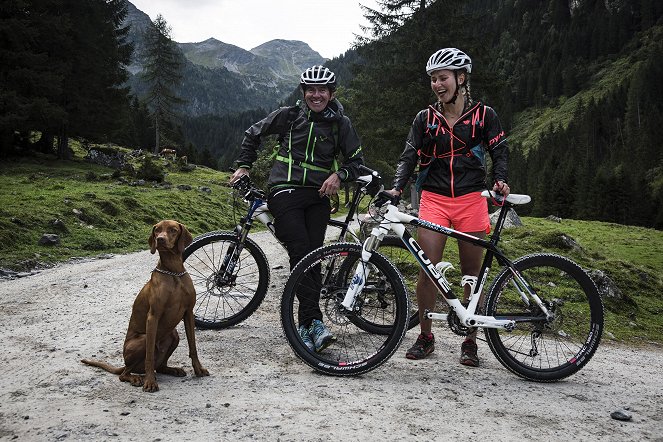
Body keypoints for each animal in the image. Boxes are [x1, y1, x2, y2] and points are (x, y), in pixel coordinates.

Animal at [81, 220, 209, 390]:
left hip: (174, 335)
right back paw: (136, 378)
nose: (160, 239)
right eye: (157, 230)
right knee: (125, 373)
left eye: (173, 230)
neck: (174, 273)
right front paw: (150, 382)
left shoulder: (189, 313)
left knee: (159, 366)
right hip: (141, 341)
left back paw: (172, 369)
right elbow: (149, 356)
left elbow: (193, 346)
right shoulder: (153, 316)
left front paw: (198, 369)